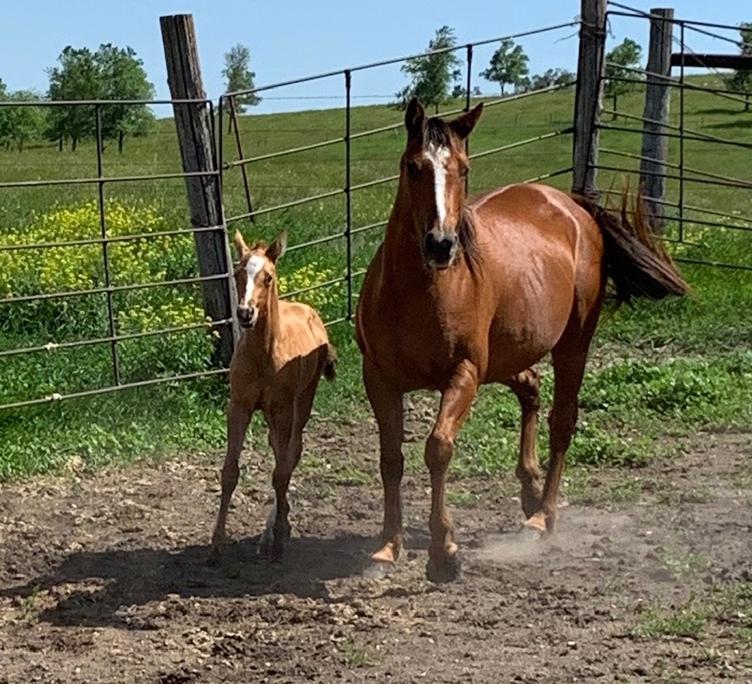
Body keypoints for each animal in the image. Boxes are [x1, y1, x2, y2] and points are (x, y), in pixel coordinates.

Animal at [210, 231, 337, 562]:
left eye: (268, 277)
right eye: (238, 274)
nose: (245, 313)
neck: (264, 356)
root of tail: (310, 312)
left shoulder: (283, 409)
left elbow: (280, 473)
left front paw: (278, 540)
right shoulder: (239, 406)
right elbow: (230, 472)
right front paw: (216, 545)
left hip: (301, 404)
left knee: (291, 454)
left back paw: (275, 532)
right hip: (270, 414)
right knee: (280, 451)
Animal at [355, 98, 688, 582]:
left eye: (464, 169)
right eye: (414, 166)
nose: (441, 245)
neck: (418, 293)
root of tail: (571, 204)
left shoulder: (464, 374)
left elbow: (438, 448)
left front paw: (444, 552)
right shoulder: (379, 378)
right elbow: (390, 458)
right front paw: (387, 546)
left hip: (572, 343)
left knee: (562, 420)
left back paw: (542, 516)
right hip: (508, 355)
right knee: (531, 386)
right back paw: (530, 491)